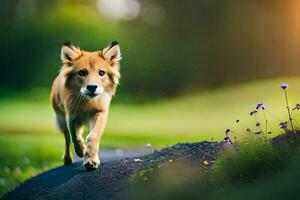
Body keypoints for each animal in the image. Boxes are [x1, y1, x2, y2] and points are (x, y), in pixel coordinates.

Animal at [51, 41, 121, 170]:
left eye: (101, 73)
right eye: (81, 73)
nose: (92, 87)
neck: (87, 103)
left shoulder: (100, 112)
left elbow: (93, 136)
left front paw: (91, 160)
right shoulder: (71, 115)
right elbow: (74, 136)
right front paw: (81, 150)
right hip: (61, 119)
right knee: (67, 138)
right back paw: (68, 159)